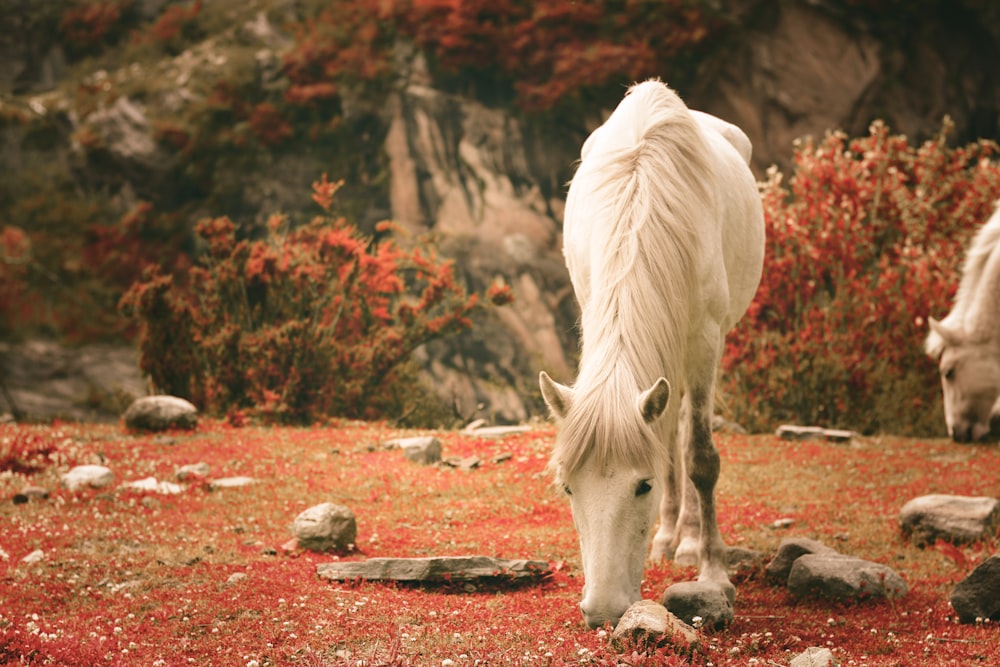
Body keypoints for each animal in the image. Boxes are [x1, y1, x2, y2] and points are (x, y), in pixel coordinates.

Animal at [540, 79, 764, 632]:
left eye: (641, 487)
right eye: (569, 489)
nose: (602, 610)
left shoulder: (706, 338)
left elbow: (701, 456)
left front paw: (713, 572)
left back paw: (687, 540)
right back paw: (667, 538)